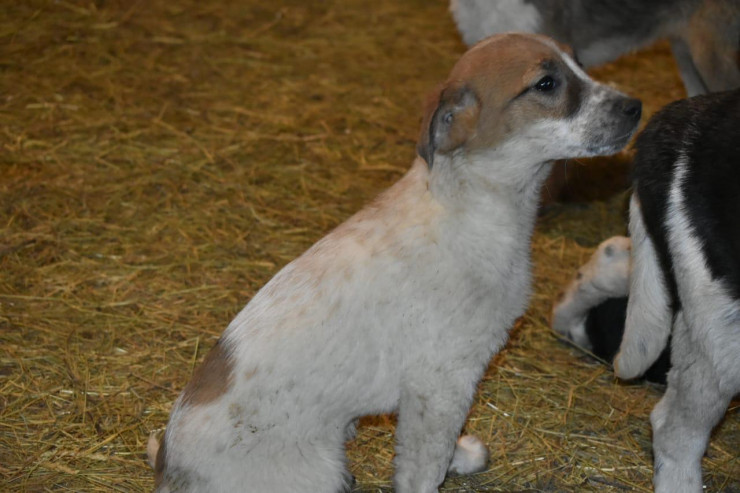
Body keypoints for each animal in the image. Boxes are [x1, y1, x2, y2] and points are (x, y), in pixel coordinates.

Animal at [147, 33, 642, 493]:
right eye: (546, 84)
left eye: (579, 64)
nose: (636, 107)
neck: (468, 204)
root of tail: (169, 471)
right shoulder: (440, 382)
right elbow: (423, 466)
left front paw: (461, 457)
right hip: (319, 471)